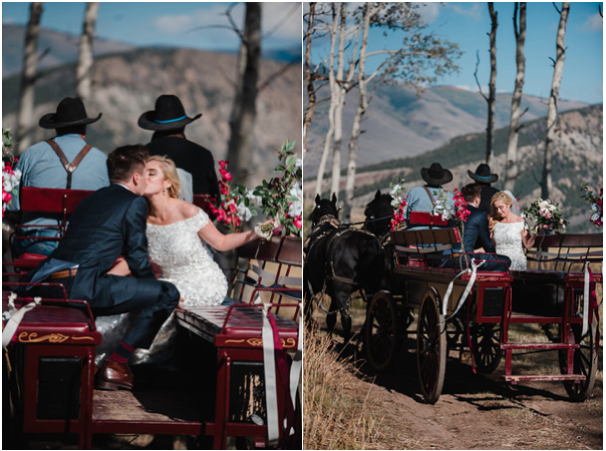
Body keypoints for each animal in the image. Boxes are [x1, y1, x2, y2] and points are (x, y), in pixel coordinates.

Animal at [306, 193, 388, 342]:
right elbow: (330, 317)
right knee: (371, 312)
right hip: (375, 288)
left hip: (342, 292)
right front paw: (328, 340)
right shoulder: (332, 292)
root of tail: (366, 243)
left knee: (346, 319)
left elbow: (308, 309)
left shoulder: (311, 284)